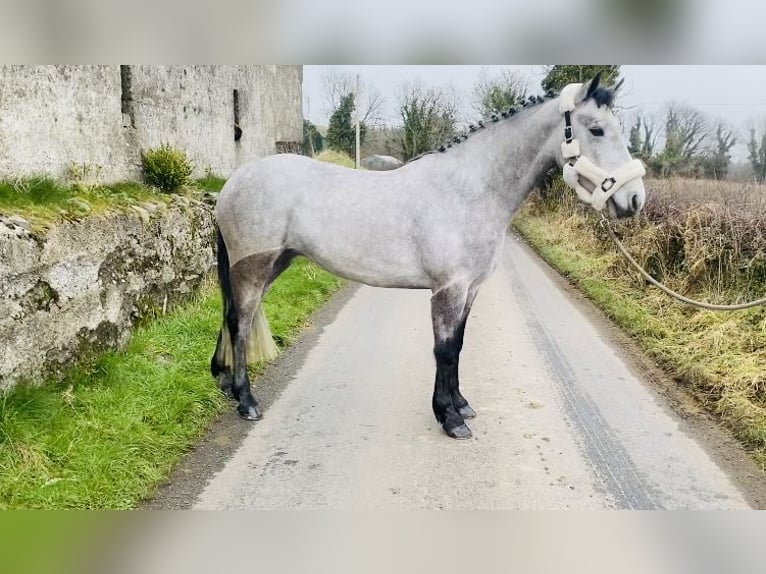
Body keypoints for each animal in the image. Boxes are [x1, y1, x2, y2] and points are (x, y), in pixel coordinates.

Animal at [212, 73, 648, 440]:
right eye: (596, 129)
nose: (634, 200)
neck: (470, 189)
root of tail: (233, 182)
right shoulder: (448, 289)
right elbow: (444, 350)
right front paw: (449, 419)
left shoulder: (470, 289)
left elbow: (458, 346)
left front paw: (461, 405)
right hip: (255, 267)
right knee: (240, 323)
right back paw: (247, 402)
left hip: (275, 263)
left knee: (234, 316)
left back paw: (226, 383)